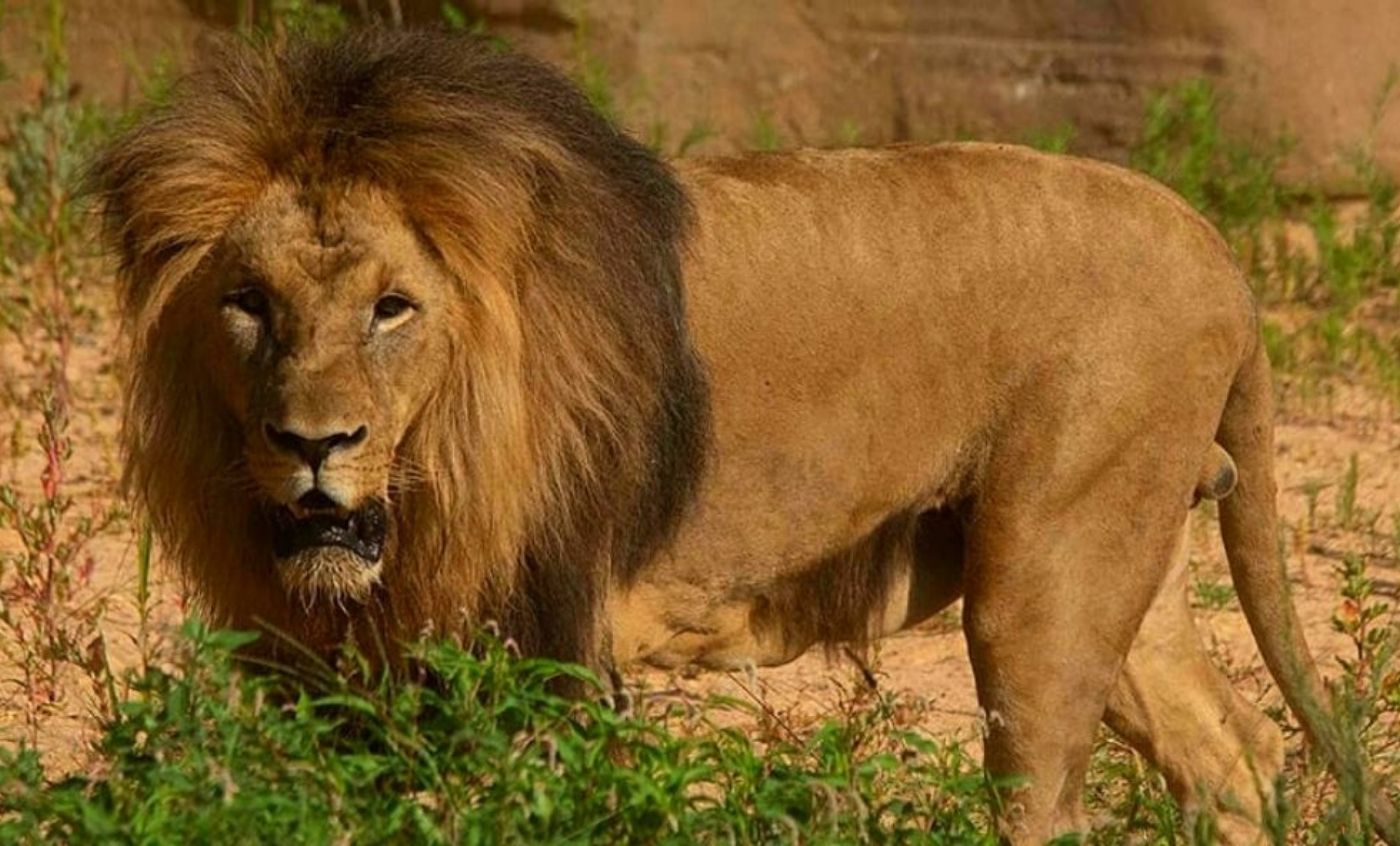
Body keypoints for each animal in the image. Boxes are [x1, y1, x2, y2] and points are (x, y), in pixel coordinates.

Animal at [93, 29, 1394, 840]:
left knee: (1046, 799)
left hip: (1044, 575)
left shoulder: (542, 653)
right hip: (1125, 561)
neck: (434, 483)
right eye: (248, 304)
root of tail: (1208, 239)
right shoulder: (332, 676)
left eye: (391, 308)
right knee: (1239, 761)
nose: (311, 443)